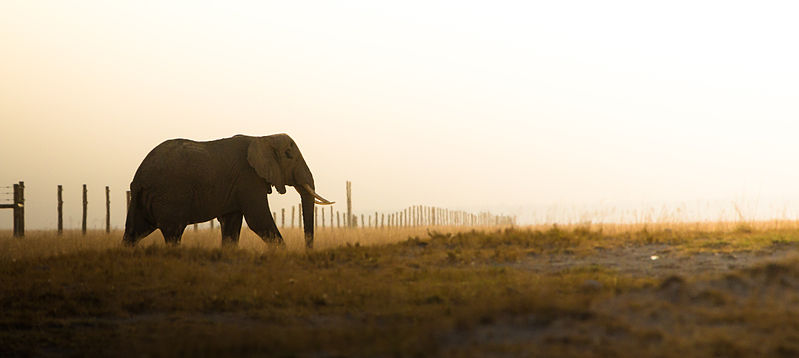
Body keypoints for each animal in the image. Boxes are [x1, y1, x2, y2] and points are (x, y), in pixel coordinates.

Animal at [120, 133, 332, 248]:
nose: (307, 251)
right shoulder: (248, 178)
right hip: (170, 195)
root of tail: (139, 177)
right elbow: (258, 220)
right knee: (173, 233)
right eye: (289, 155)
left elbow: (231, 224)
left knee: (134, 232)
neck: (263, 137)